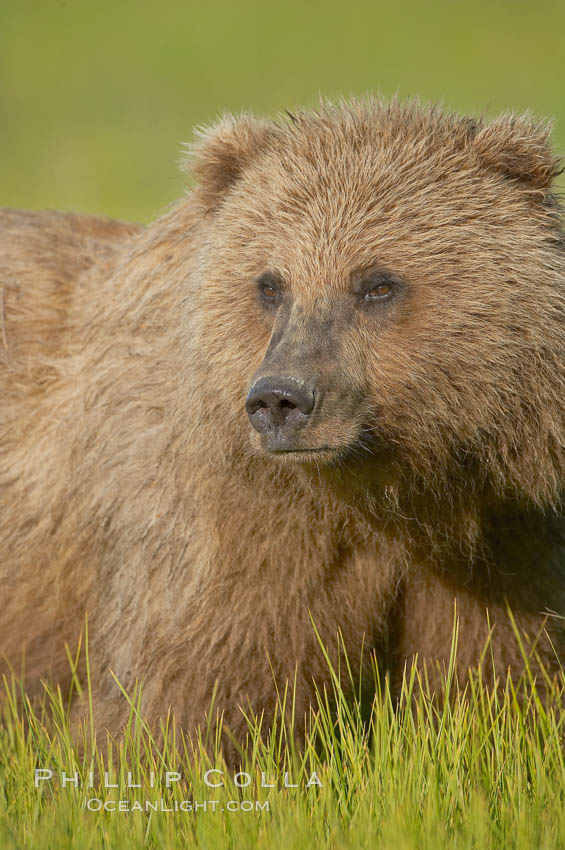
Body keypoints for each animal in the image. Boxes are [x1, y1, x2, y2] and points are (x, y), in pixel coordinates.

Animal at [1, 96, 564, 752]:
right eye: (270, 284)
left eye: (377, 284)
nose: (279, 399)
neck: (386, 492)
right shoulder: (234, 524)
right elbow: (190, 688)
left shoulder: (499, 531)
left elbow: (496, 684)